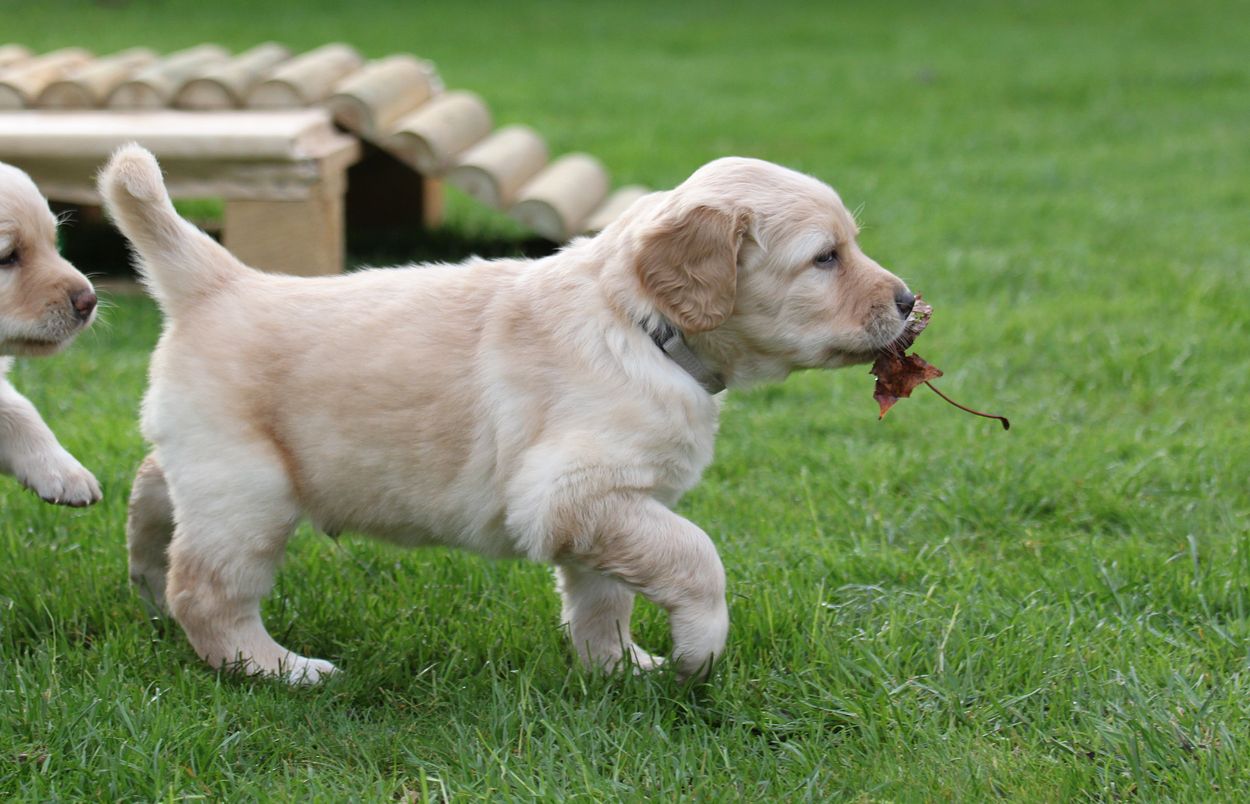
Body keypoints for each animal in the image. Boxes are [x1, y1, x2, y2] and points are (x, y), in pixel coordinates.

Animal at [101, 144, 915, 683]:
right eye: (825, 258)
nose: (909, 300)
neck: (642, 326)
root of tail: (220, 281)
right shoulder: (572, 491)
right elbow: (696, 557)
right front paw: (697, 651)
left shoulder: (612, 505)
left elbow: (604, 597)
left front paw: (620, 667)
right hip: (252, 489)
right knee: (206, 593)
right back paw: (279, 668)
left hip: (206, 465)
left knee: (152, 488)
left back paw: (143, 574)